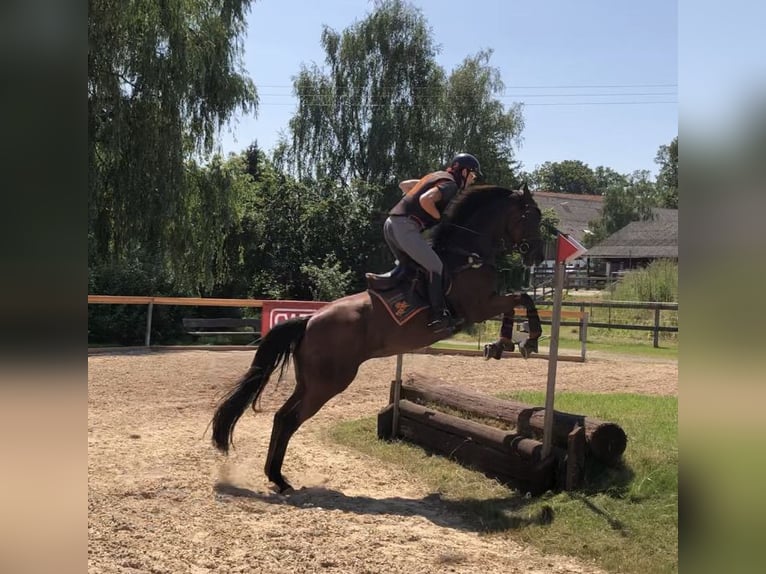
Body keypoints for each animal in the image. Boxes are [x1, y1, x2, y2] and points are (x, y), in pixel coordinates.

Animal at [210, 184, 544, 496]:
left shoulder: (487, 305)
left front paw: (503, 344)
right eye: (533, 217)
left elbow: (517, 301)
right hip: (328, 384)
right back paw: (279, 478)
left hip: (310, 383)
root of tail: (310, 321)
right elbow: (521, 298)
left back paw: (275, 476)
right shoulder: (479, 306)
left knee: (281, 417)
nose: (537, 256)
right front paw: (529, 340)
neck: (467, 254)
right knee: (291, 420)